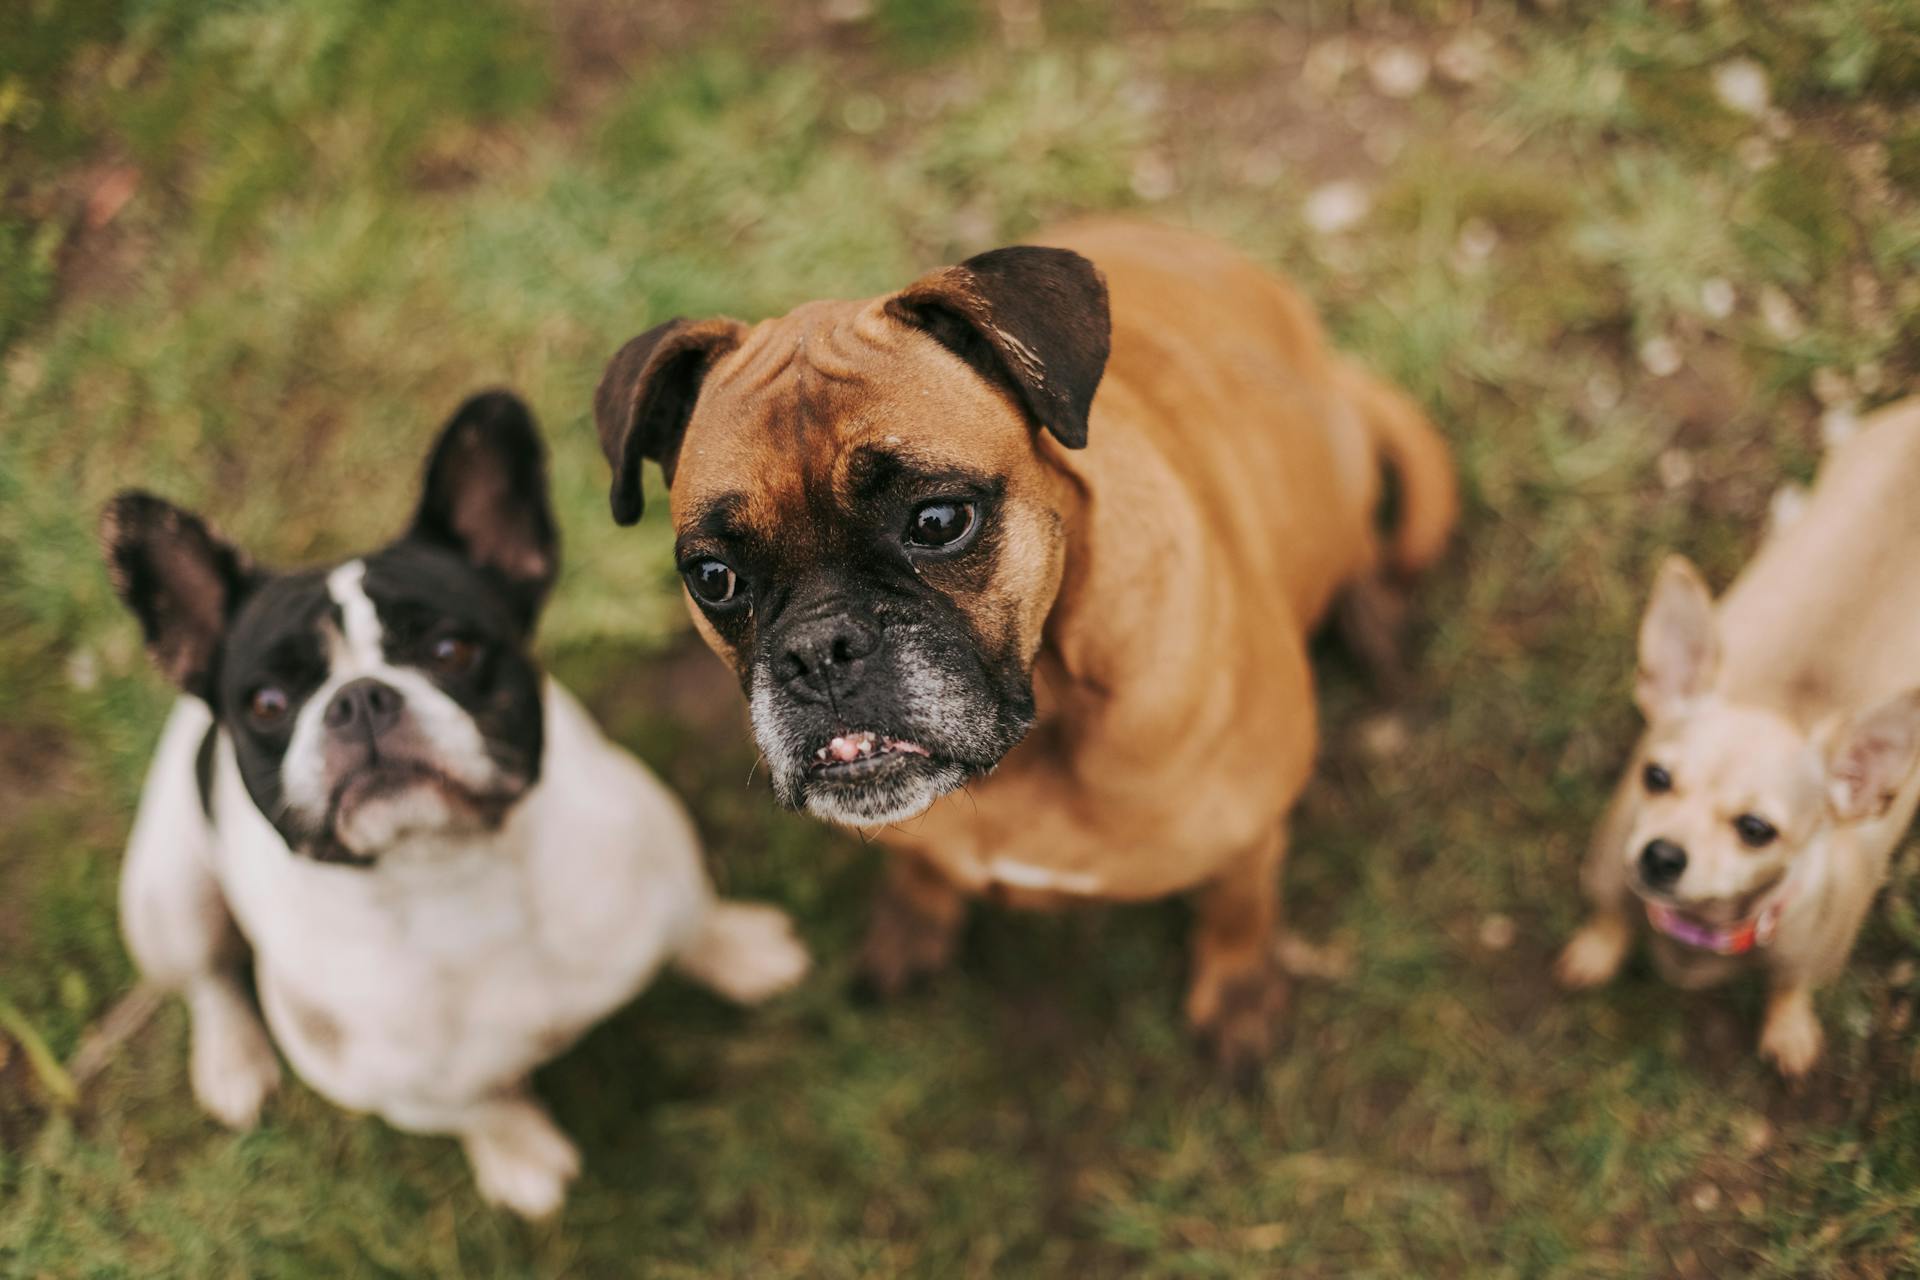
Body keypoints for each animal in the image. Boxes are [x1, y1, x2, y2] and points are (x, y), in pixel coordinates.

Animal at [591, 222, 1443, 1074]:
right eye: (713, 578)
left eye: (938, 521)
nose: (819, 649)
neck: (1040, 737)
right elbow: (918, 866)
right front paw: (910, 923)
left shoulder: (1247, 832)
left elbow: (1239, 904)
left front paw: (1238, 990)